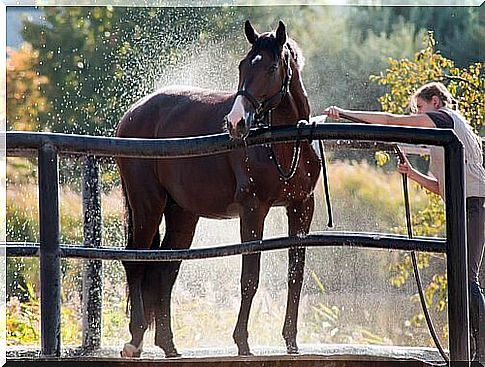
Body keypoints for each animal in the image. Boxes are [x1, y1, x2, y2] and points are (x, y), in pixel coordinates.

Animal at [116, 20, 322, 360]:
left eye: (271, 67)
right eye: (243, 65)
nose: (236, 122)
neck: (282, 142)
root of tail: (134, 113)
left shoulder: (302, 207)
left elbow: (296, 275)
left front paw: (291, 342)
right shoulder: (253, 210)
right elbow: (249, 277)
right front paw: (242, 342)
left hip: (182, 215)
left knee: (164, 269)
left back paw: (168, 344)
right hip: (147, 206)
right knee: (136, 261)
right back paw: (135, 340)